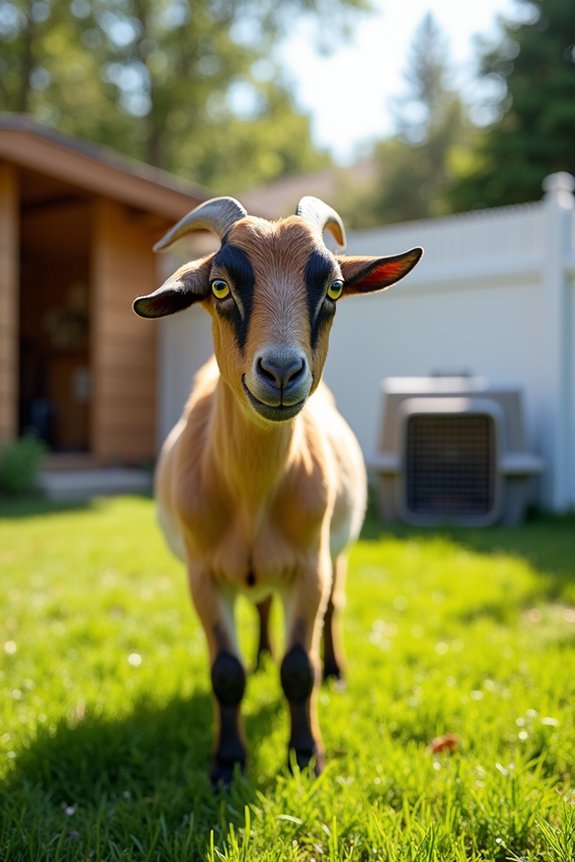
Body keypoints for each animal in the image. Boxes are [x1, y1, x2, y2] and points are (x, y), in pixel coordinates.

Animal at [133, 196, 422, 785]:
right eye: (220, 285)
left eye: (334, 287)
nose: (283, 371)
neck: (249, 491)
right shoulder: (202, 576)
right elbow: (225, 672)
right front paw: (227, 763)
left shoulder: (309, 568)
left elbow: (298, 669)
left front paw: (306, 756)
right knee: (263, 606)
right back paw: (261, 655)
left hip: (338, 550)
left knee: (334, 607)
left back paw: (336, 670)